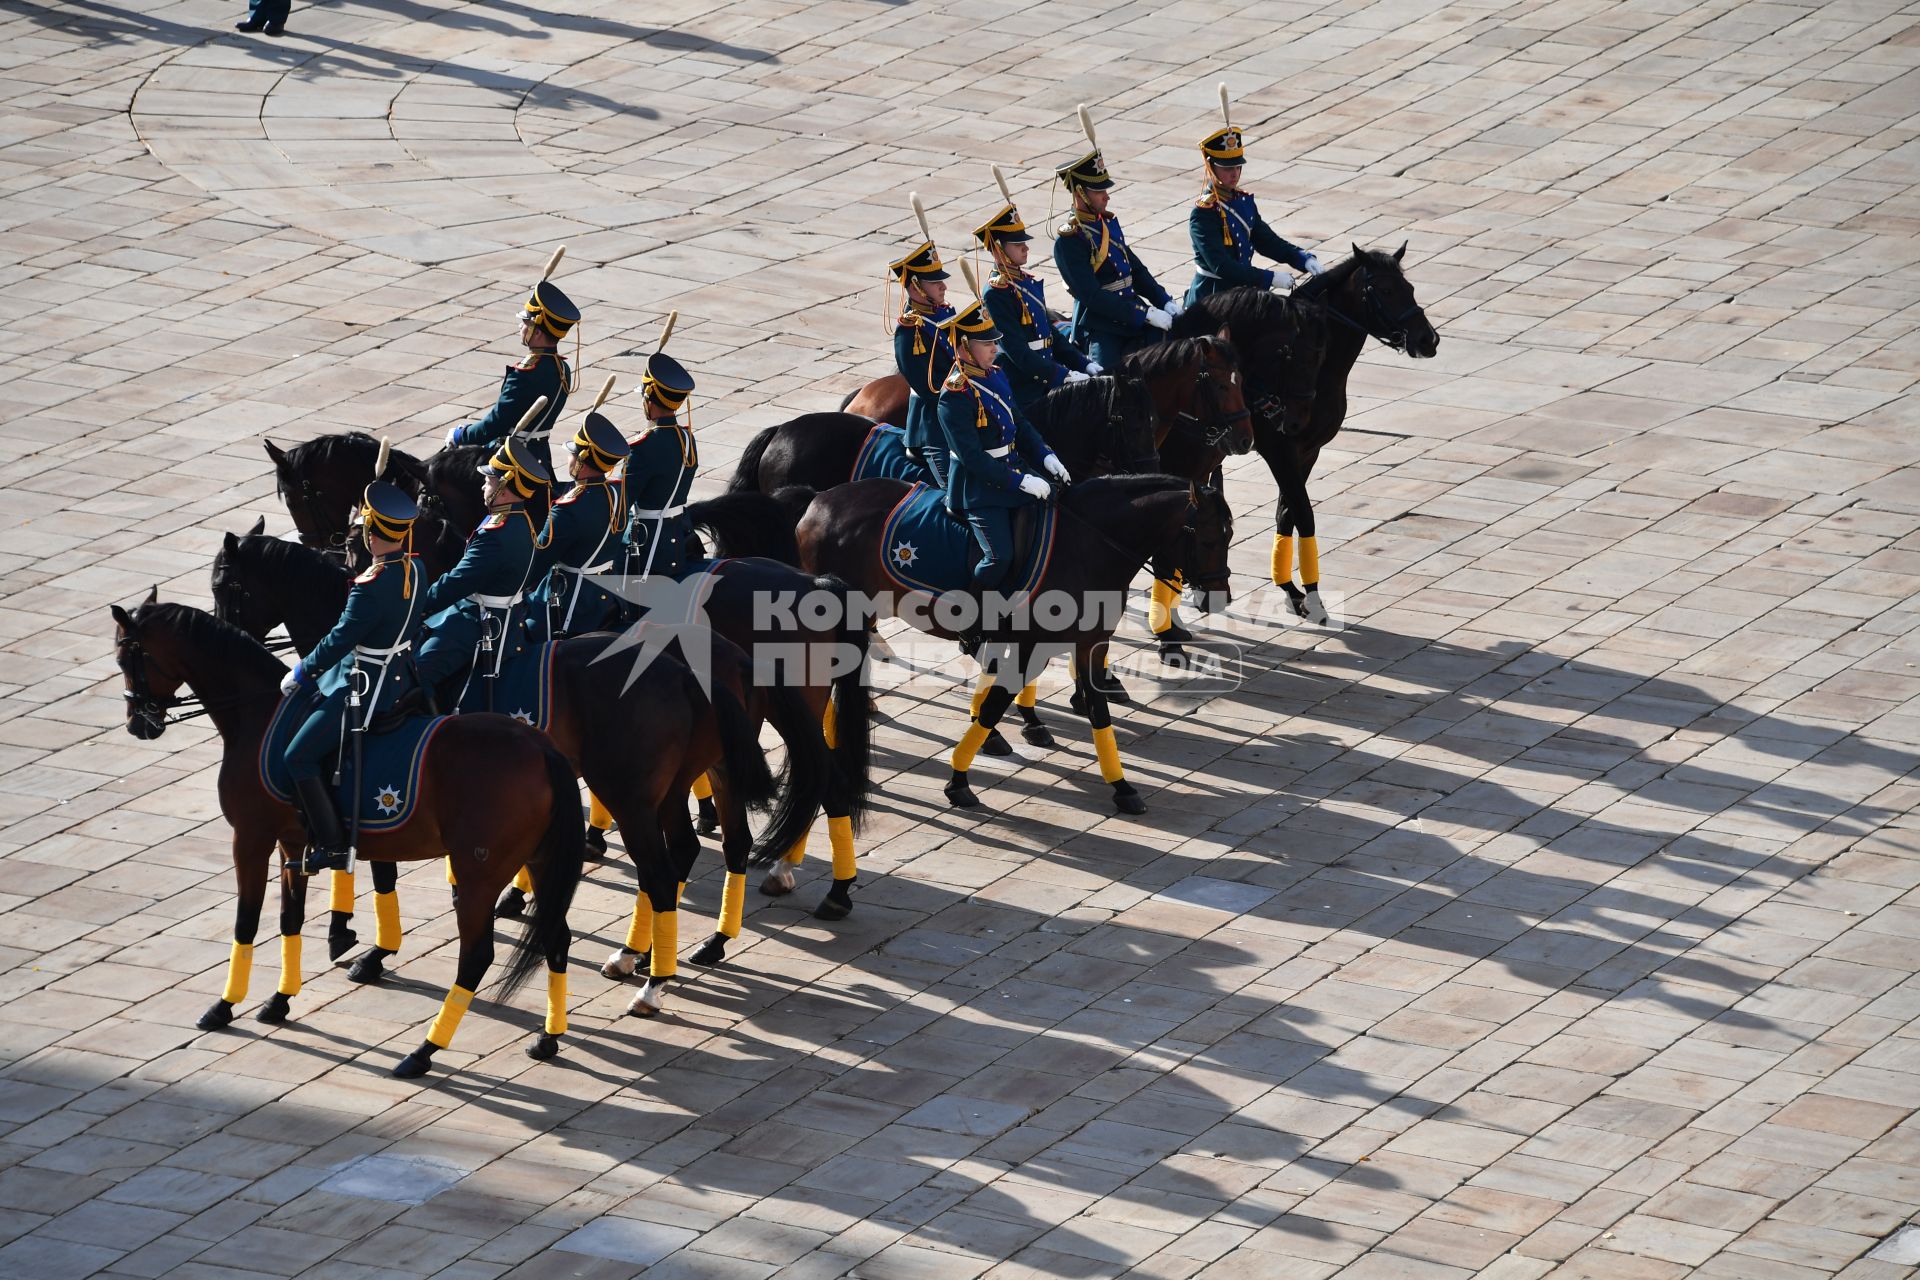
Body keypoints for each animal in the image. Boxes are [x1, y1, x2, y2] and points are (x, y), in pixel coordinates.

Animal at [108, 594, 576, 1074]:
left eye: (126, 657)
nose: (137, 724)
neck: (257, 716)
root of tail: (540, 749)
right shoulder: (293, 842)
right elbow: (289, 918)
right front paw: (280, 999)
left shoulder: (251, 838)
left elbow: (247, 922)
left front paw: (225, 1005)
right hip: (540, 861)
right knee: (556, 937)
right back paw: (547, 1038)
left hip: (478, 873)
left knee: (477, 956)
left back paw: (423, 1052)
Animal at [798, 475, 1228, 817]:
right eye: (1208, 539)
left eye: (1229, 537)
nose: (1219, 597)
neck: (1088, 545)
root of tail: (819, 500)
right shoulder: (1027, 644)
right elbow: (994, 706)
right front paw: (958, 781)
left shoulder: (1090, 644)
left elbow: (1098, 713)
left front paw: (1121, 787)